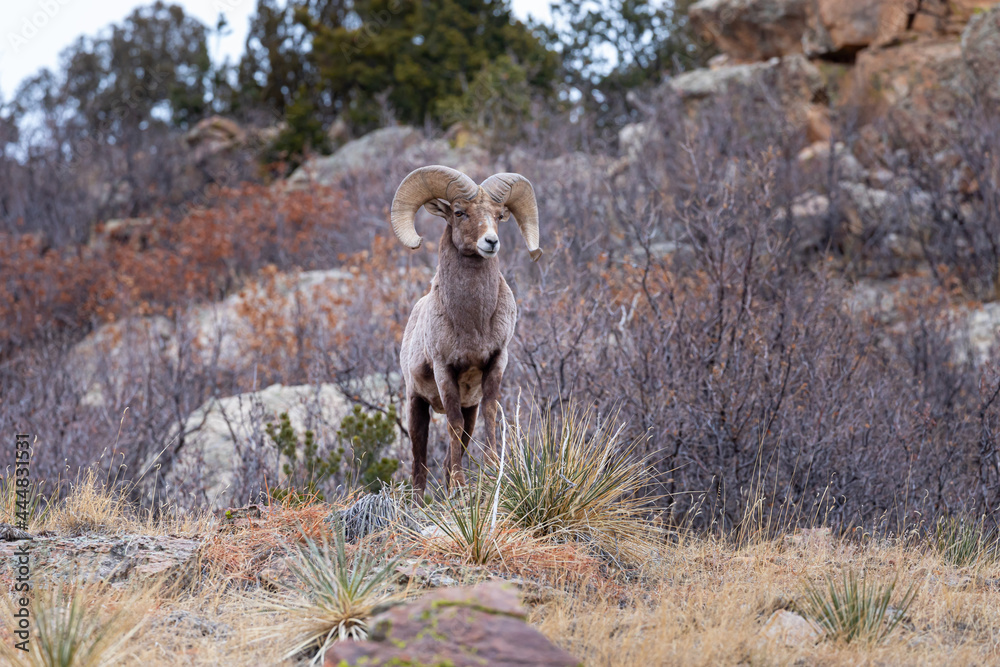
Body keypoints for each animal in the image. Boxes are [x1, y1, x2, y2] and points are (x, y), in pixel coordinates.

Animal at [389, 165, 541, 498]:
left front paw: (492, 470)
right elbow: (453, 423)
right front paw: (460, 483)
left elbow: (490, 414)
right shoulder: (444, 370)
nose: (490, 242)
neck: (472, 324)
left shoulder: (496, 363)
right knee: (419, 464)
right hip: (416, 406)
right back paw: (421, 501)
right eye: (459, 212)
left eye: (498, 215)